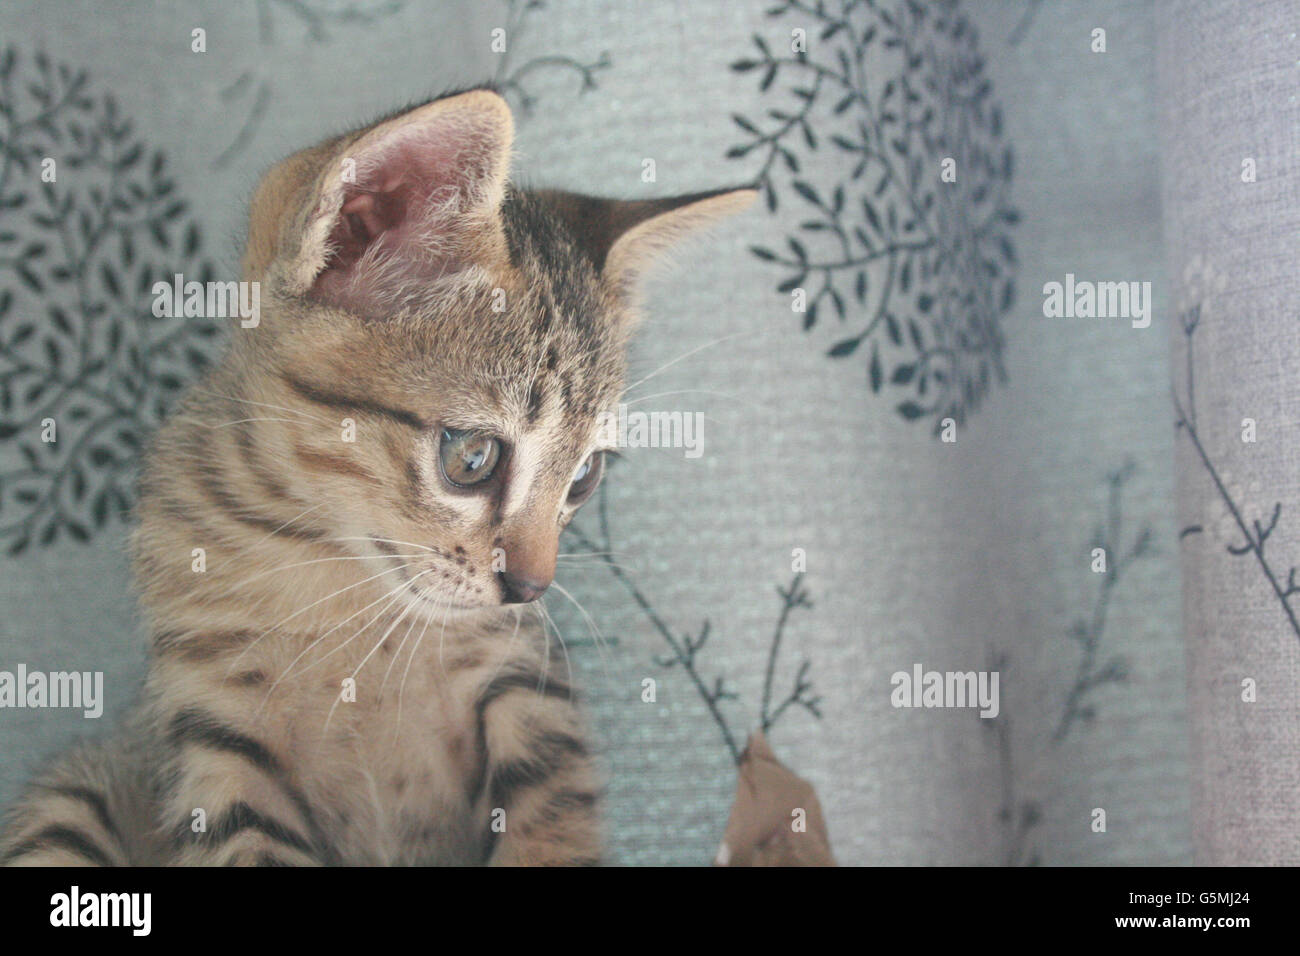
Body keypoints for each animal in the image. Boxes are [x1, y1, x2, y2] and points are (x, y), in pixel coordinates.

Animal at [0, 89, 759, 868]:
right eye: (472, 457)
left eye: (584, 477)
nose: (532, 588)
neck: (337, 579)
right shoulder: (220, 731)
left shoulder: (526, 690)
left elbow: (551, 829)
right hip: (75, 792)